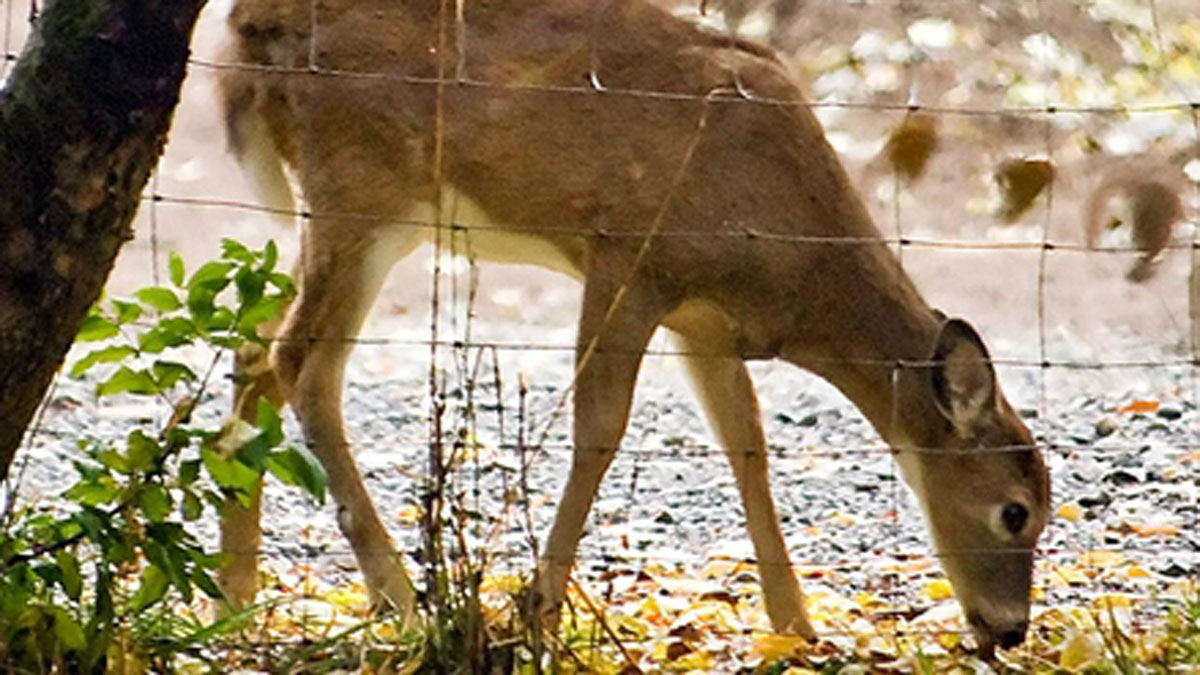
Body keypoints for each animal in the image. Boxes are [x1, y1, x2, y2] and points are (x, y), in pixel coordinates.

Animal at [214, 0, 1050, 655]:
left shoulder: (703, 320)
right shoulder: (628, 259)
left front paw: (798, 626)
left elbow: (746, 443)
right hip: (363, 187)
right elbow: (600, 428)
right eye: (1016, 510)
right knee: (300, 363)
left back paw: (235, 591)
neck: (795, 260)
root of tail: (247, 28)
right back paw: (394, 596)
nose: (1010, 629)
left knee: (255, 348)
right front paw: (539, 614)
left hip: (355, 212)